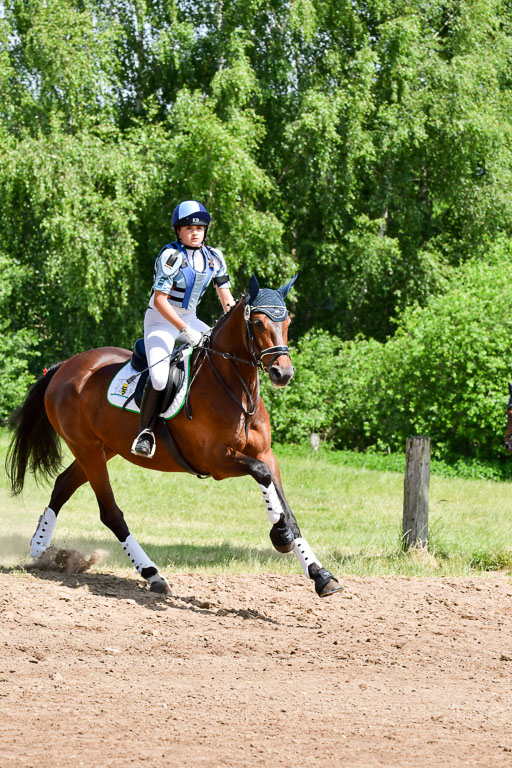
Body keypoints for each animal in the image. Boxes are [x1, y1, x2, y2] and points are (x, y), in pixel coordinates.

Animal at [5, 275, 341, 598]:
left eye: (287, 322)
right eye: (257, 323)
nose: (282, 373)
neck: (235, 389)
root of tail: (65, 367)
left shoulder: (265, 454)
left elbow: (285, 505)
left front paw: (318, 573)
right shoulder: (217, 461)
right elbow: (262, 476)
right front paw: (279, 533)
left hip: (102, 448)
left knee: (63, 485)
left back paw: (39, 546)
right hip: (87, 448)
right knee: (110, 513)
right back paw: (152, 574)